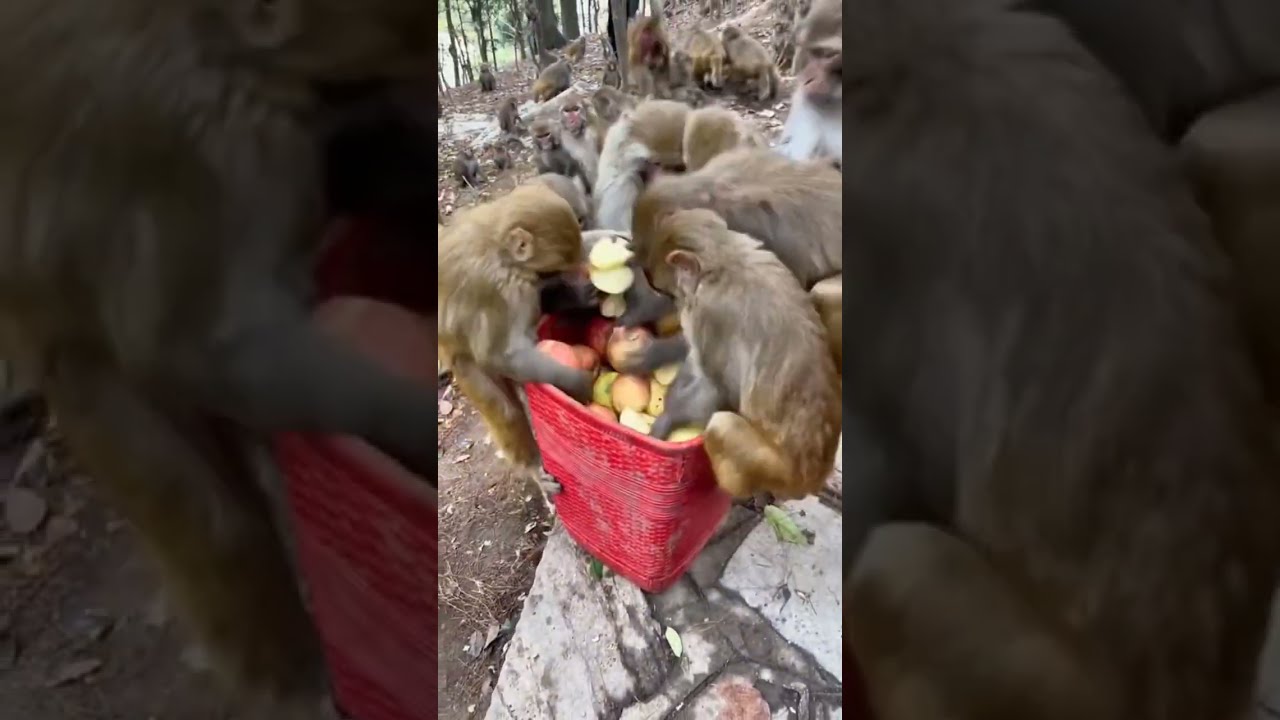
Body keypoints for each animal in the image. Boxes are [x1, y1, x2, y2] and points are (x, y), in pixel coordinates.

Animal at [438, 184, 594, 502]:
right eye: (553, 268)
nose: (572, 273)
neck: (499, 246)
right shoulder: (501, 286)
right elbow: (499, 355)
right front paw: (577, 381)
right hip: (464, 364)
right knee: (505, 410)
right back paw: (533, 468)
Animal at [639, 209, 839, 499]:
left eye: (665, 290)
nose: (676, 305)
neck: (723, 262)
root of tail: (813, 476)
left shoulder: (710, 313)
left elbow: (722, 388)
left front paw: (668, 418)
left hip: (774, 468)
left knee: (722, 422)